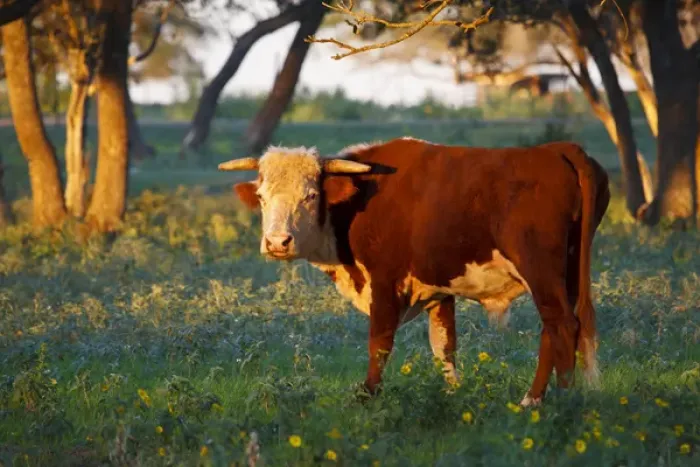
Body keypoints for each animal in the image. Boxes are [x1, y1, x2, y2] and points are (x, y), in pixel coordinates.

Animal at [218, 137, 610, 407]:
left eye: (311, 195)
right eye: (262, 197)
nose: (277, 242)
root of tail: (557, 149)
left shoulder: (385, 281)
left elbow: (379, 343)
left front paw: (367, 395)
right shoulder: (438, 290)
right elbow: (444, 345)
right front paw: (452, 394)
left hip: (540, 268)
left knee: (561, 324)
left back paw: (550, 399)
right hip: (567, 272)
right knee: (557, 327)